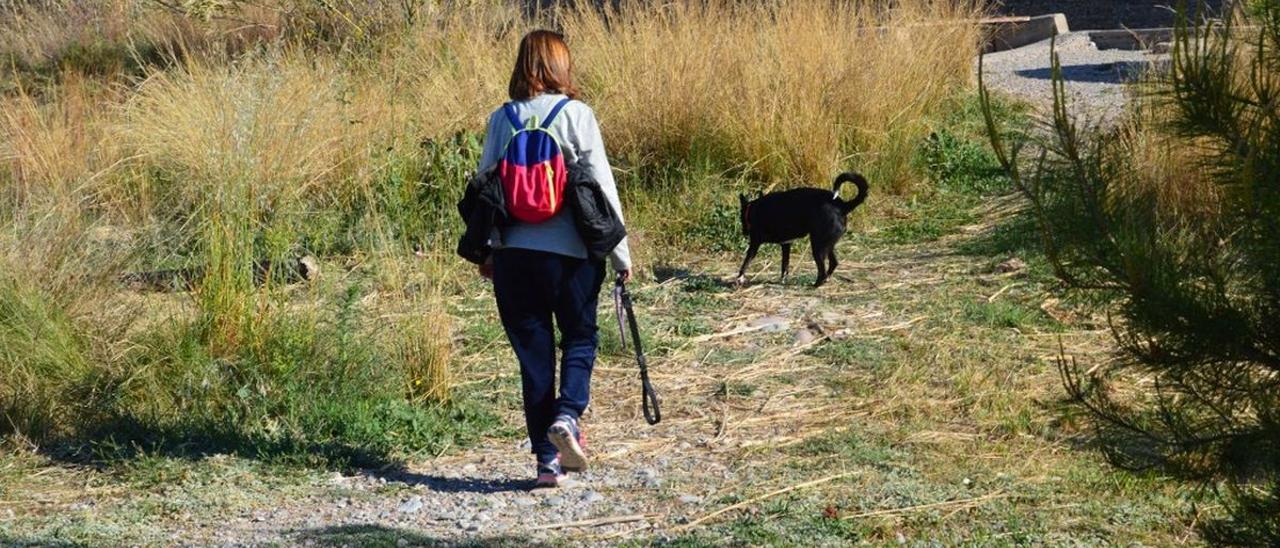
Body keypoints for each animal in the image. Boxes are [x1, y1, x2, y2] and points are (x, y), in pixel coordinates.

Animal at [742, 172, 870, 286]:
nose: (744, 232)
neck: (754, 209)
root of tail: (842, 206)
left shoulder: (755, 243)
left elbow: (746, 262)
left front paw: (740, 277)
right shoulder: (786, 244)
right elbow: (785, 266)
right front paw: (783, 280)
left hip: (818, 246)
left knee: (822, 270)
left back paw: (816, 284)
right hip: (827, 244)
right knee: (833, 263)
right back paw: (825, 280)